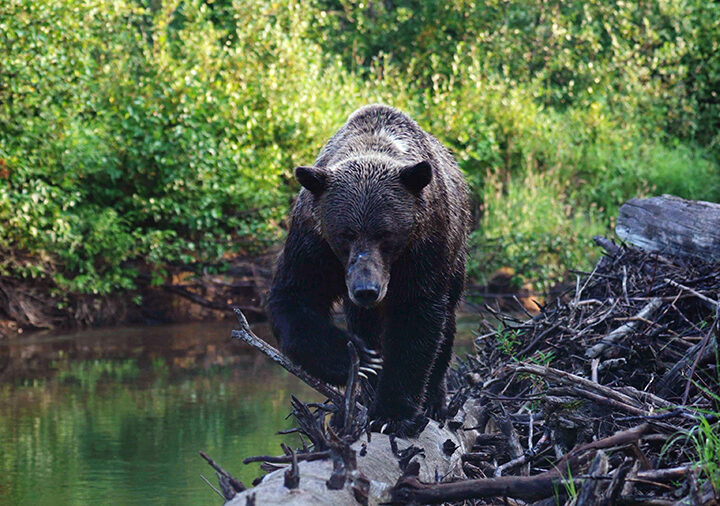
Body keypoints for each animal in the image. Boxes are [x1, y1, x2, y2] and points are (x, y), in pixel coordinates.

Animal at [268, 105, 470, 436]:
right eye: (345, 234)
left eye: (385, 234)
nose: (366, 289)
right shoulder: (313, 244)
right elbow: (295, 298)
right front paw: (361, 359)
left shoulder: (423, 250)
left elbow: (416, 322)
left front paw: (393, 413)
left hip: (455, 258)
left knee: (447, 325)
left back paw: (433, 401)